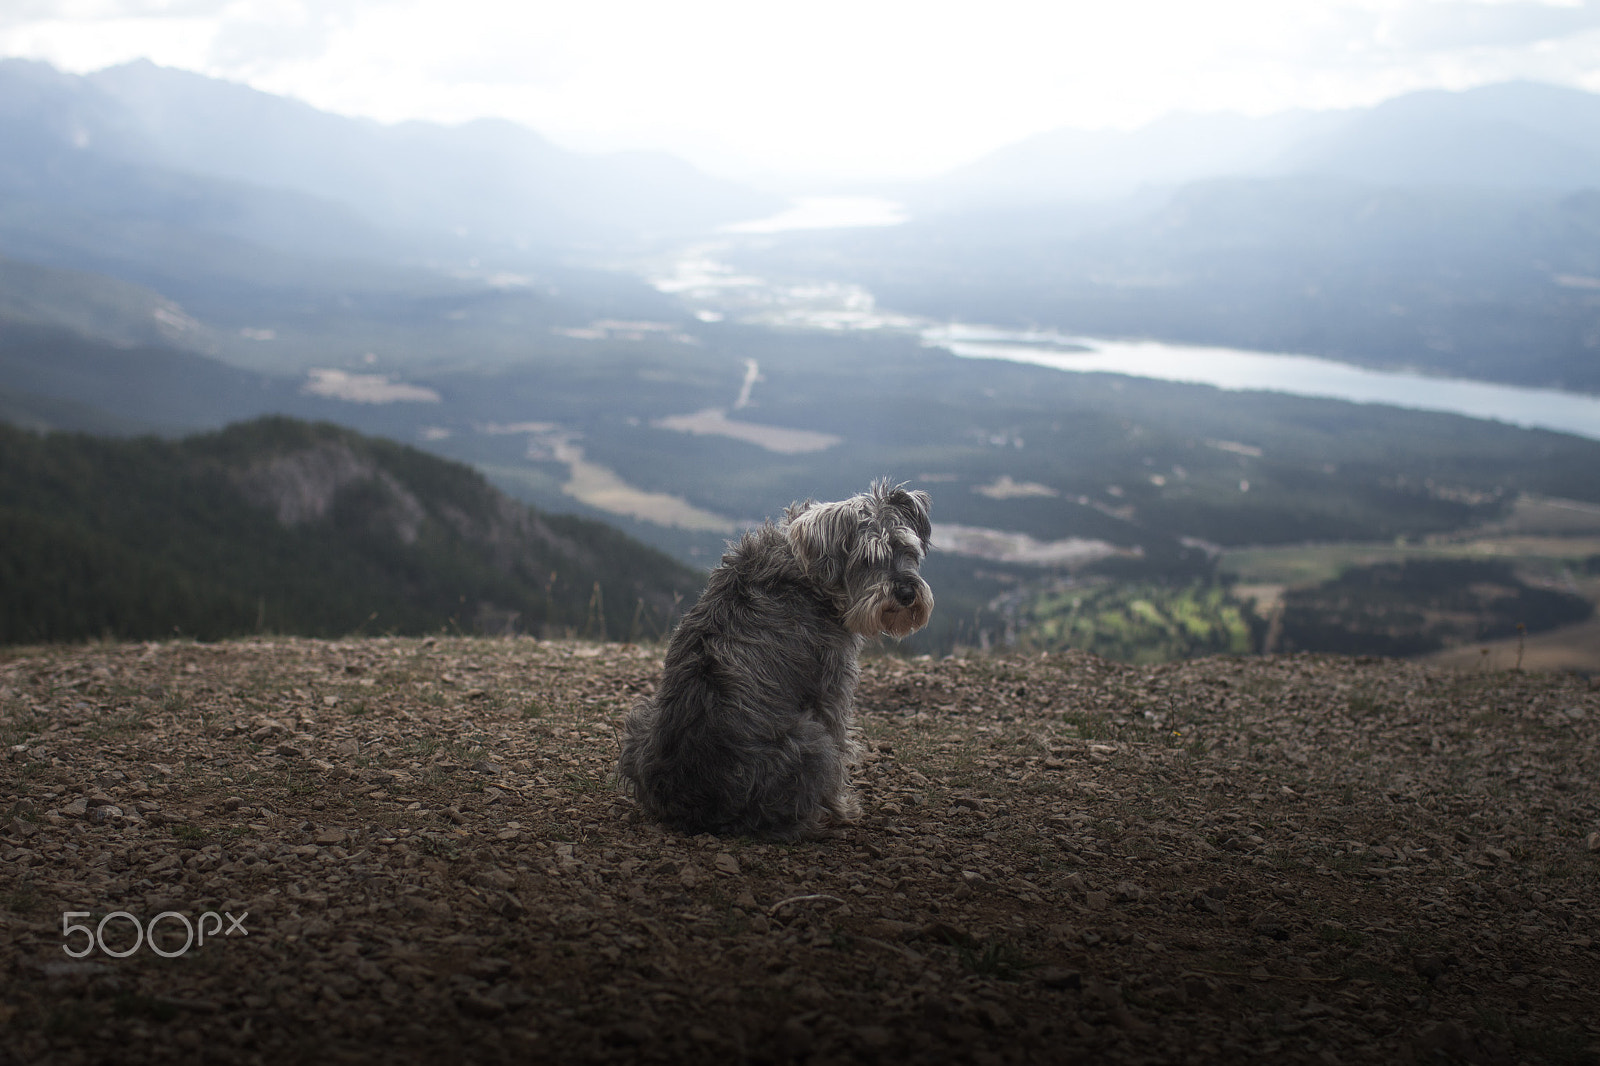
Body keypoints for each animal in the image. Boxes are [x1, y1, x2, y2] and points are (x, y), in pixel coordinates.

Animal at [614, 480, 934, 838]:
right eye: (867, 558)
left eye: (907, 550)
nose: (906, 594)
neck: (809, 572)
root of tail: (698, 806)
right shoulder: (831, 691)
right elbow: (840, 749)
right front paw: (843, 808)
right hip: (810, 742)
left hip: (640, 720)